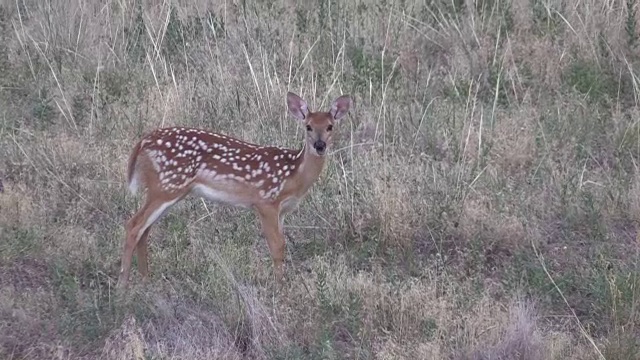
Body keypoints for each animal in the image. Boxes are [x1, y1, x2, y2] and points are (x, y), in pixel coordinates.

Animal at [117, 91, 352, 288]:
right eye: (308, 126)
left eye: (330, 126)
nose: (319, 146)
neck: (292, 174)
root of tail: (144, 142)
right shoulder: (265, 201)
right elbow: (277, 246)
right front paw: (280, 287)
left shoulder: (283, 211)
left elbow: (282, 245)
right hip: (167, 185)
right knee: (134, 225)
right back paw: (123, 286)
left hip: (168, 189)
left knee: (145, 229)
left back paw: (146, 280)